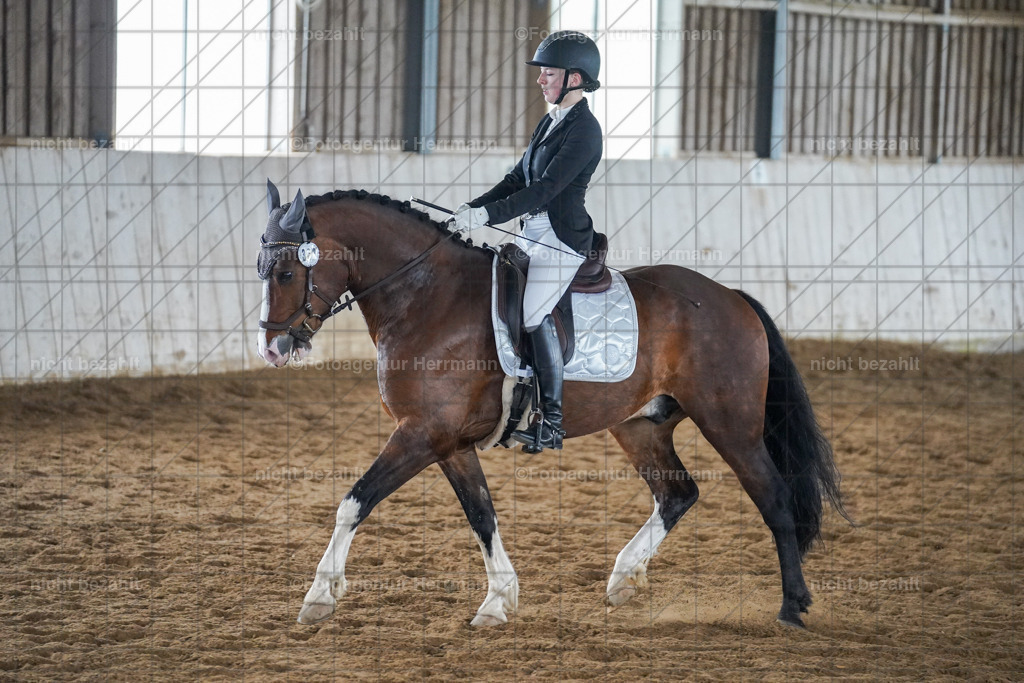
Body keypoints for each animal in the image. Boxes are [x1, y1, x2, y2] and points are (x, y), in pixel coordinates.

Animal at [255, 186, 849, 629]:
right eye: (262, 269)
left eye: (285, 272)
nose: (274, 348)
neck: (425, 295)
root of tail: (730, 296)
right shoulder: (448, 442)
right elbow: (481, 514)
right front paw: (498, 602)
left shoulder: (421, 433)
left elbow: (354, 501)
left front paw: (319, 597)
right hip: (640, 426)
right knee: (678, 493)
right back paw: (624, 578)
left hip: (731, 425)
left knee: (774, 498)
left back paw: (792, 607)